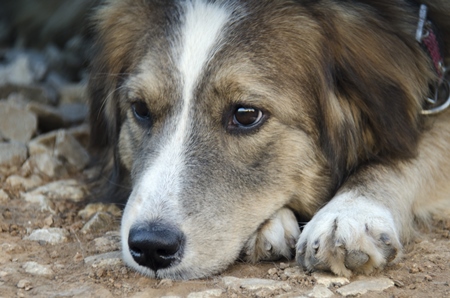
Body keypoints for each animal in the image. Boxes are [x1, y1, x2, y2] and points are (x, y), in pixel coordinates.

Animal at [88, 0, 450, 280]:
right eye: (140, 109)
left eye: (247, 115)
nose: (150, 246)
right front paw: (272, 223)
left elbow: (403, 154)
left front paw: (351, 214)